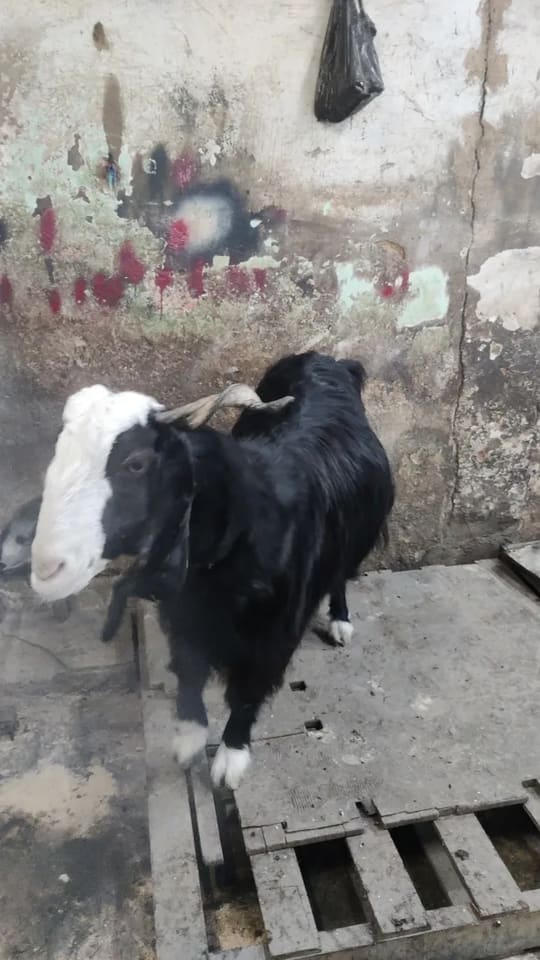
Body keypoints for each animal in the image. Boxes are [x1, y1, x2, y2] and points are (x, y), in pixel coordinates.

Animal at [31, 352, 394, 788]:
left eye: (136, 463)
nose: (47, 568)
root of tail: (328, 359)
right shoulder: (183, 616)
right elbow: (189, 673)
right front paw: (188, 740)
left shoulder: (273, 635)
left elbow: (248, 692)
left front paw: (229, 761)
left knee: (341, 573)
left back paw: (340, 621)